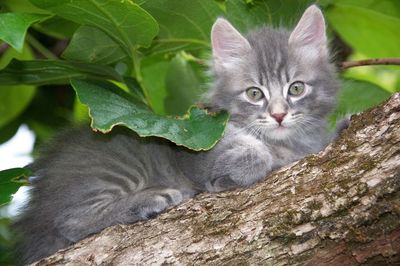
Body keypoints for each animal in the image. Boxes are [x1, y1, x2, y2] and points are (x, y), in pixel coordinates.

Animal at [14, 5, 338, 264]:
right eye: (255, 93)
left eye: (296, 88)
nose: (279, 115)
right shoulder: (197, 141)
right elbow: (252, 154)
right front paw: (251, 165)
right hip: (118, 165)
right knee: (71, 220)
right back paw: (152, 199)